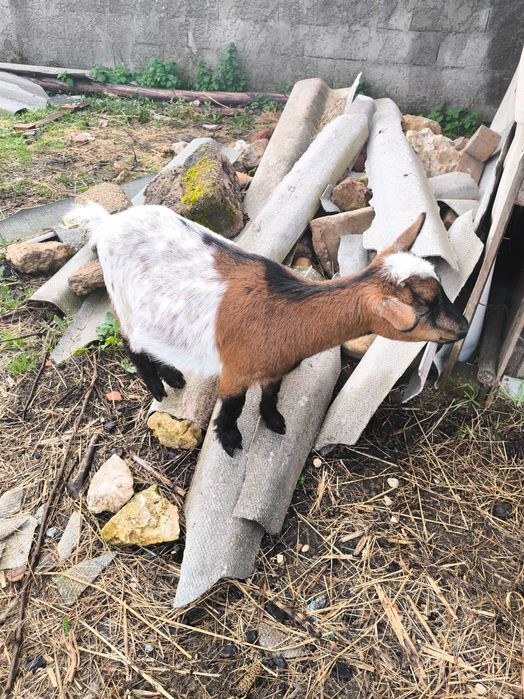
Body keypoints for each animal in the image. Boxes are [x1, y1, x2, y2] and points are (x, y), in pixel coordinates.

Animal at [69, 203, 468, 456]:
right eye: (426, 304)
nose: (463, 327)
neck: (284, 312)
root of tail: (107, 224)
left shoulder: (276, 366)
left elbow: (272, 394)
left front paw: (275, 421)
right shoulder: (235, 370)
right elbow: (233, 407)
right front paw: (229, 440)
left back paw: (174, 376)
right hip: (122, 300)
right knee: (131, 343)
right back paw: (158, 384)